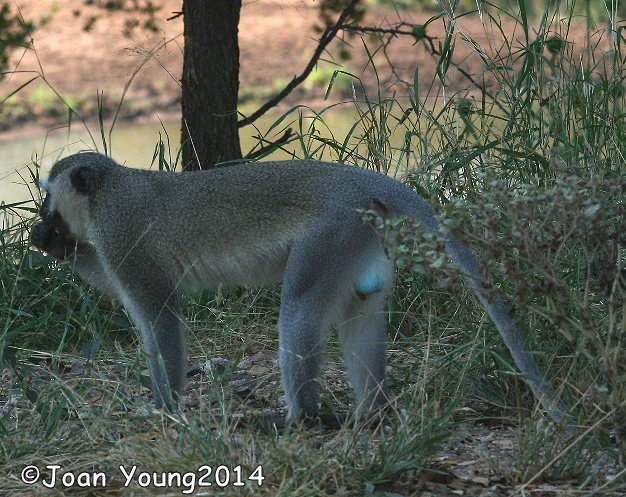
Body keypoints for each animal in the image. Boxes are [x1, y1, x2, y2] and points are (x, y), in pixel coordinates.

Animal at [30, 153, 572, 424]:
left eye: (46, 198)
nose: (40, 222)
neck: (109, 190)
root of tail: (369, 183)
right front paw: (53, 247)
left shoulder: (121, 234)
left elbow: (160, 315)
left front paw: (162, 408)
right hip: (362, 237)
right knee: (361, 312)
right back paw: (370, 416)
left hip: (332, 232)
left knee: (300, 309)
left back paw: (299, 418)